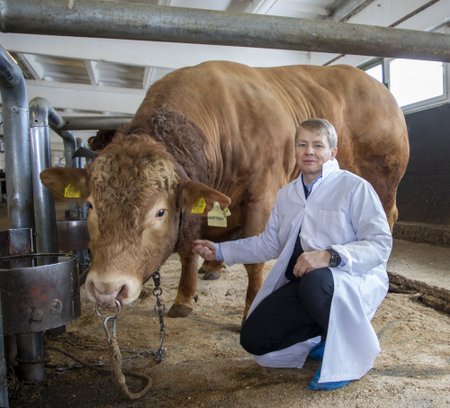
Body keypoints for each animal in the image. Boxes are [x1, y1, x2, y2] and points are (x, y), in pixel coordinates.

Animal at [40, 60, 410, 318]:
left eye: (159, 212)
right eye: (91, 206)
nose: (106, 289)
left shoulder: (262, 196)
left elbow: (254, 260)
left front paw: (249, 309)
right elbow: (190, 250)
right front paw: (184, 298)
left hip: (383, 180)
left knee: (386, 218)